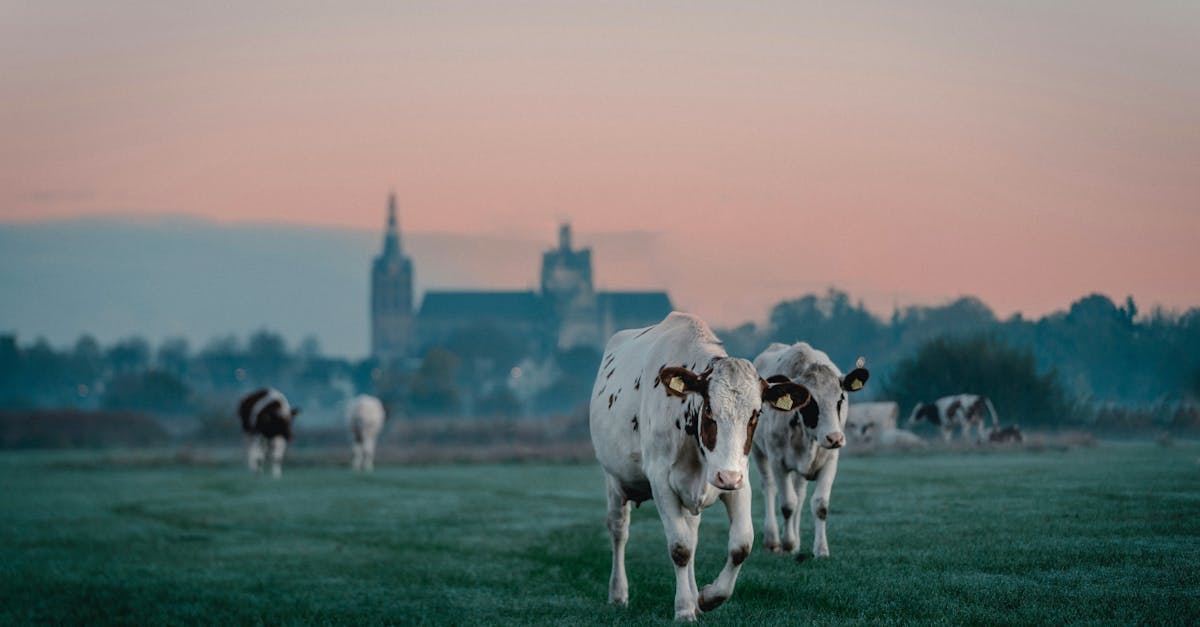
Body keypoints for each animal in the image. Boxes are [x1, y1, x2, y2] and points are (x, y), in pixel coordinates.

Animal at [589, 312, 810, 621]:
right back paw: (619, 593)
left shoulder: (740, 481)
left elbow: (741, 544)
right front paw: (683, 608)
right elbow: (680, 548)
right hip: (614, 480)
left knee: (692, 534)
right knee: (619, 530)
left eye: (756, 414)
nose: (726, 477)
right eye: (709, 410)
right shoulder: (661, 483)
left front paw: (707, 597)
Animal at [751, 342, 870, 559]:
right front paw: (788, 544)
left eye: (840, 399)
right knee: (769, 488)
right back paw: (773, 539)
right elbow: (787, 504)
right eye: (811, 402)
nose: (835, 438)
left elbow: (819, 504)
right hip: (758, 452)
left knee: (800, 494)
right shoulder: (778, 463)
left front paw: (820, 549)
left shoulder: (830, 461)